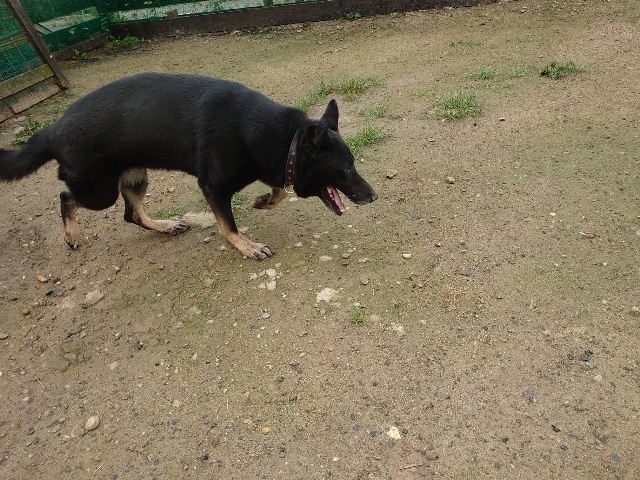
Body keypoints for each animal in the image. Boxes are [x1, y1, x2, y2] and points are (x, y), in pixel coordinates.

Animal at [0, 73, 377, 259]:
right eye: (346, 169)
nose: (373, 196)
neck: (285, 141)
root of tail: (52, 129)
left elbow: (280, 189)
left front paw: (264, 200)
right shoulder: (213, 186)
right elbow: (229, 227)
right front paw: (248, 247)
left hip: (134, 176)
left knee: (131, 214)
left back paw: (164, 225)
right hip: (99, 190)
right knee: (68, 197)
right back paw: (71, 234)